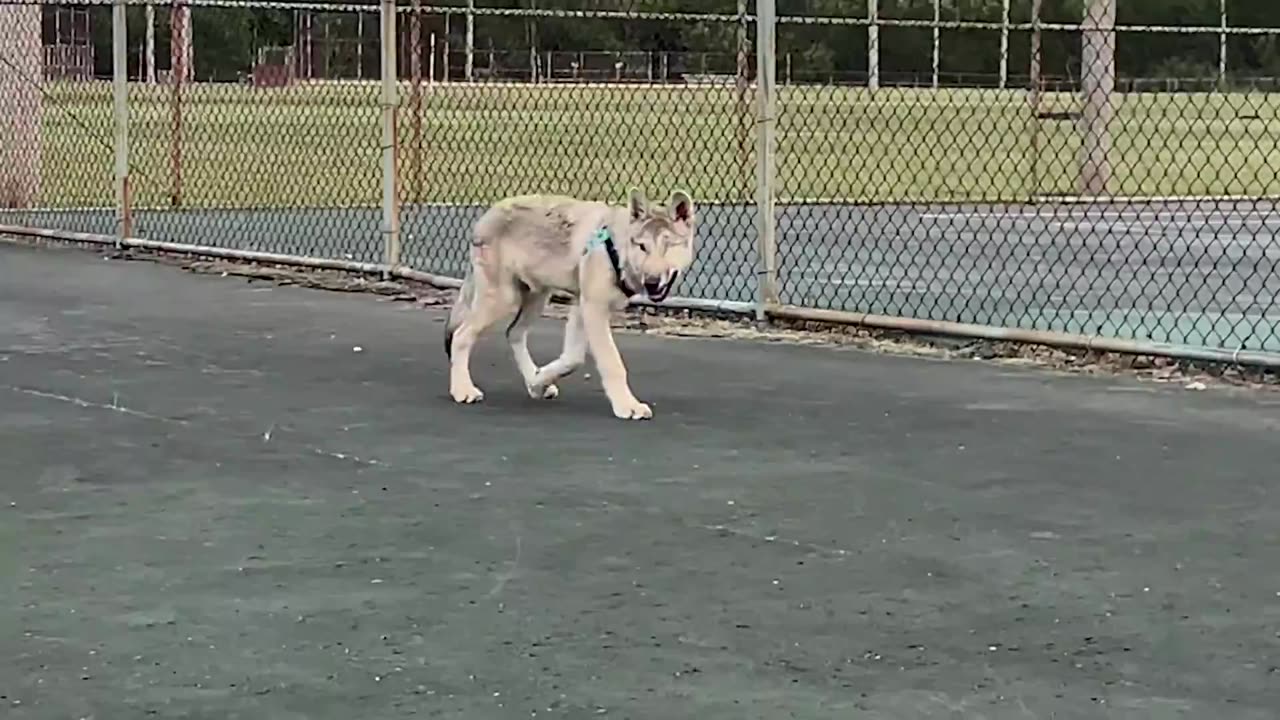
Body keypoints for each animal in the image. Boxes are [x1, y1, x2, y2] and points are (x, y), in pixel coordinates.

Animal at [442, 188, 701, 417]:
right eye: (643, 246)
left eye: (668, 246)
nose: (652, 282)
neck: (617, 249)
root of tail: (486, 215)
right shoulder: (593, 308)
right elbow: (612, 363)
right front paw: (627, 406)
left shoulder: (581, 307)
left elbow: (572, 359)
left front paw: (538, 382)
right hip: (504, 300)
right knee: (462, 336)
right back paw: (462, 390)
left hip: (537, 297)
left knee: (513, 333)